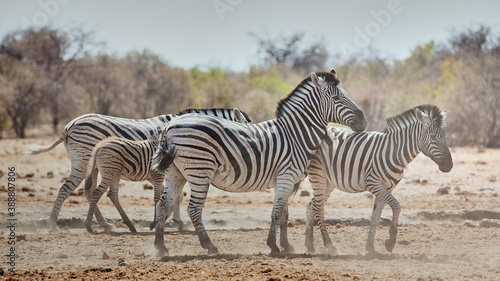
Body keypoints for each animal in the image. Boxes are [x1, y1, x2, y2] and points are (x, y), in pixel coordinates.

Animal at [24, 106, 250, 230]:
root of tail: (70, 125)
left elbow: (176, 195)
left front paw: (173, 219)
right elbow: (176, 196)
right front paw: (173, 220)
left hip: (94, 165)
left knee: (88, 191)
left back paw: (104, 224)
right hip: (83, 160)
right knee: (66, 188)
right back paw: (52, 223)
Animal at [151, 69, 368, 255]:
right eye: (336, 98)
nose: (364, 122)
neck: (295, 135)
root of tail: (170, 125)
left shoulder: (284, 179)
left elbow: (284, 215)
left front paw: (286, 245)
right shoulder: (287, 175)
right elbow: (276, 213)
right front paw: (273, 246)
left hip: (175, 172)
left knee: (163, 205)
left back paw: (160, 247)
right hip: (200, 170)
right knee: (194, 209)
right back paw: (209, 246)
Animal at [304, 104, 454, 255]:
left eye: (445, 137)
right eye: (433, 137)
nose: (449, 166)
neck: (394, 153)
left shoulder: (387, 187)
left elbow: (376, 216)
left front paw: (370, 247)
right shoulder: (373, 184)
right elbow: (396, 205)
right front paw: (391, 240)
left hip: (329, 181)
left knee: (312, 205)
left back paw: (310, 245)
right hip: (318, 175)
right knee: (318, 208)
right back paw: (328, 245)